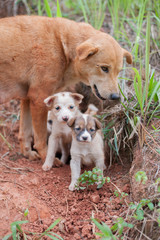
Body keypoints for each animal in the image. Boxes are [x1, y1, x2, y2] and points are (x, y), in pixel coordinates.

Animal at [0, 15, 132, 160]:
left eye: (118, 71)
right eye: (104, 68)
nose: (116, 96)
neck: (62, 46)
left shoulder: (28, 98)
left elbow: (25, 134)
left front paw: (28, 154)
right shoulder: (39, 98)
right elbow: (41, 140)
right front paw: (48, 158)